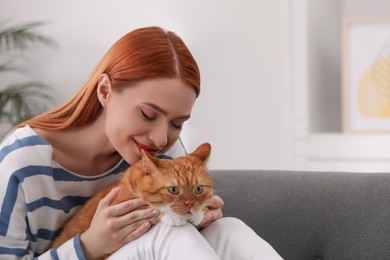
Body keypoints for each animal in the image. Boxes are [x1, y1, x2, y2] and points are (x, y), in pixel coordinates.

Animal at [49, 142, 213, 252]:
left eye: (198, 189)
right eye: (173, 190)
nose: (190, 204)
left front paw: (198, 213)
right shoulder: (120, 204)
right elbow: (149, 206)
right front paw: (172, 216)